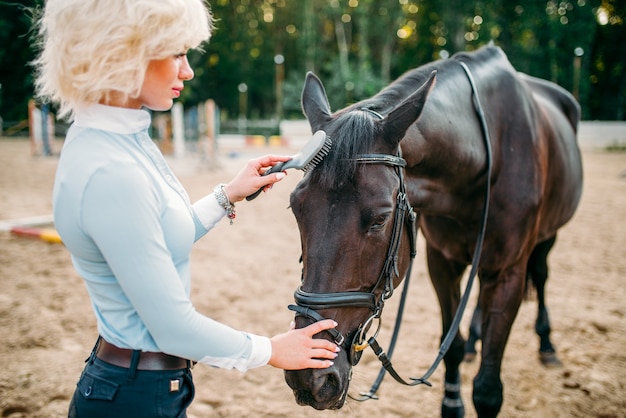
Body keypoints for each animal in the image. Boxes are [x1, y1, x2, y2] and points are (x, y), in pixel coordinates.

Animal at [282, 44, 580, 416]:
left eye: (380, 219)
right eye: (296, 208)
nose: (308, 377)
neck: (483, 156)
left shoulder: (508, 272)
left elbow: (488, 388)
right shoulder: (442, 261)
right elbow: (451, 346)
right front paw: (453, 398)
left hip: (546, 237)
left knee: (539, 275)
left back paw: (547, 345)